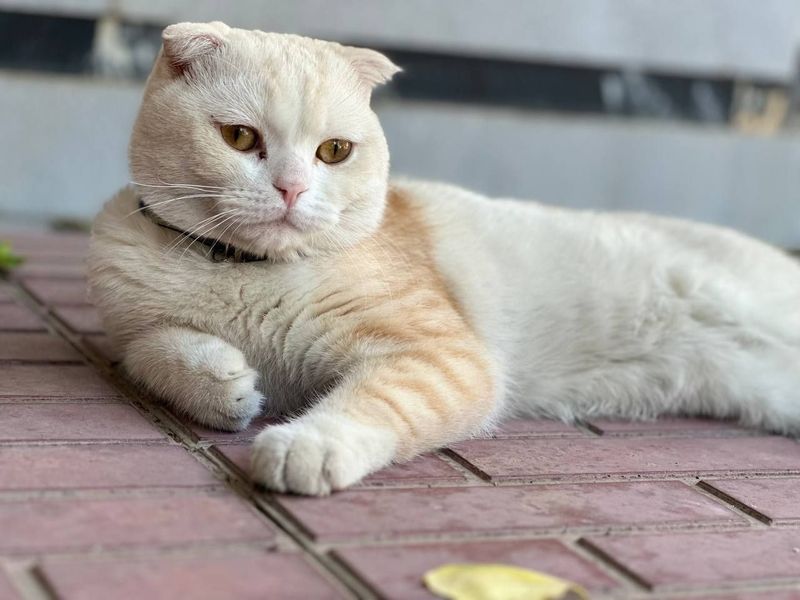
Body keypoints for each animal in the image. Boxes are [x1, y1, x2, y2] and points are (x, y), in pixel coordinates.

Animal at [87, 21, 800, 494]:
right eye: (240, 138)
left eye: (334, 152)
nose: (291, 188)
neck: (241, 273)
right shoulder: (127, 329)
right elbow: (153, 349)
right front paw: (223, 384)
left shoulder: (442, 358)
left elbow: (369, 402)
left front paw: (308, 444)